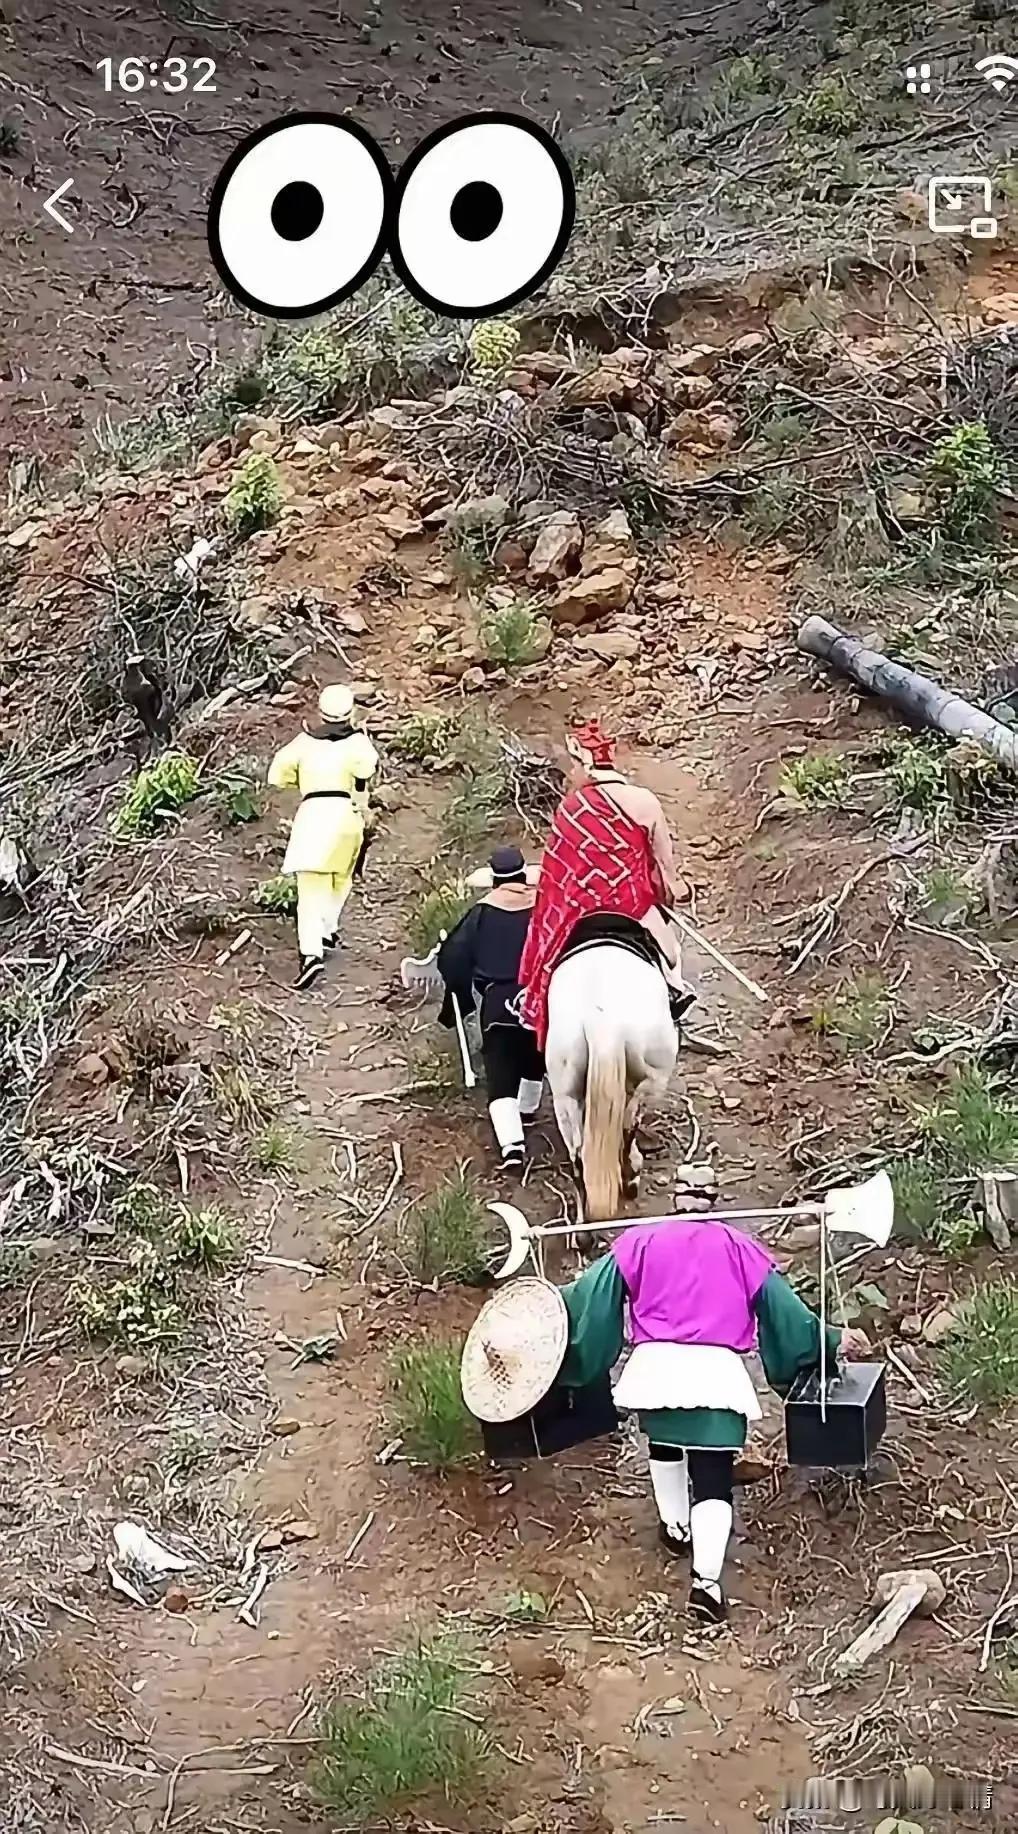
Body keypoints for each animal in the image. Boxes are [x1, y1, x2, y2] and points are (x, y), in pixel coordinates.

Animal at [544, 932, 678, 1224]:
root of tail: (601, 1018)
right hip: (653, 1076)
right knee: (628, 1126)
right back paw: (630, 1178)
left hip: (564, 1093)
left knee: (578, 1157)